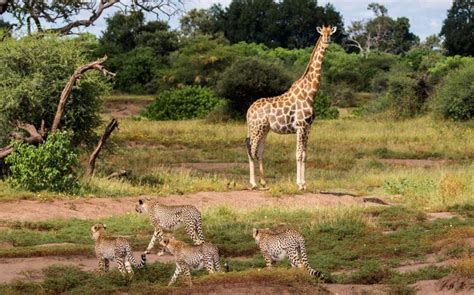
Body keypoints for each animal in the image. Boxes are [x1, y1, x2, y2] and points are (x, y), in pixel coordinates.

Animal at [244, 25, 336, 192]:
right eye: (322, 34)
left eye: (330, 33)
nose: (327, 42)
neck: (310, 93)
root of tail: (248, 111)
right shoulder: (300, 126)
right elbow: (298, 154)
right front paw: (299, 184)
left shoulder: (308, 127)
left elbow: (304, 154)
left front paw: (304, 183)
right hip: (256, 128)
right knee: (251, 149)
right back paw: (253, 184)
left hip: (264, 129)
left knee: (259, 151)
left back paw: (264, 183)